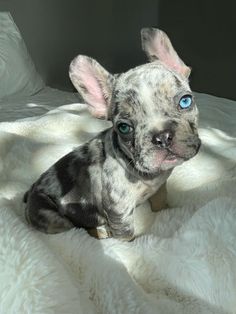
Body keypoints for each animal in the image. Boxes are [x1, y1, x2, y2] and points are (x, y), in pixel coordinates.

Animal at [24, 28, 200, 240]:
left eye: (185, 101)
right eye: (124, 128)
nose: (162, 137)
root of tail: (30, 193)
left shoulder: (159, 188)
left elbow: (160, 204)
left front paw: (167, 212)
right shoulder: (119, 212)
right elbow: (127, 236)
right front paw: (131, 244)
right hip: (55, 219)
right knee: (77, 227)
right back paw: (100, 231)